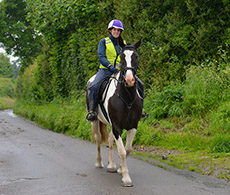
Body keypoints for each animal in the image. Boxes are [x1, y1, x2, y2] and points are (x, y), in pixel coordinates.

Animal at [86, 38, 143, 187]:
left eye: (136, 56)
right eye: (122, 57)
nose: (129, 80)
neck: (127, 97)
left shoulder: (132, 126)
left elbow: (127, 149)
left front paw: (120, 170)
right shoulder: (117, 126)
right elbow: (122, 151)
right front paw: (126, 178)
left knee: (111, 140)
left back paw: (111, 166)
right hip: (95, 120)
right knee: (98, 139)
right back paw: (99, 163)